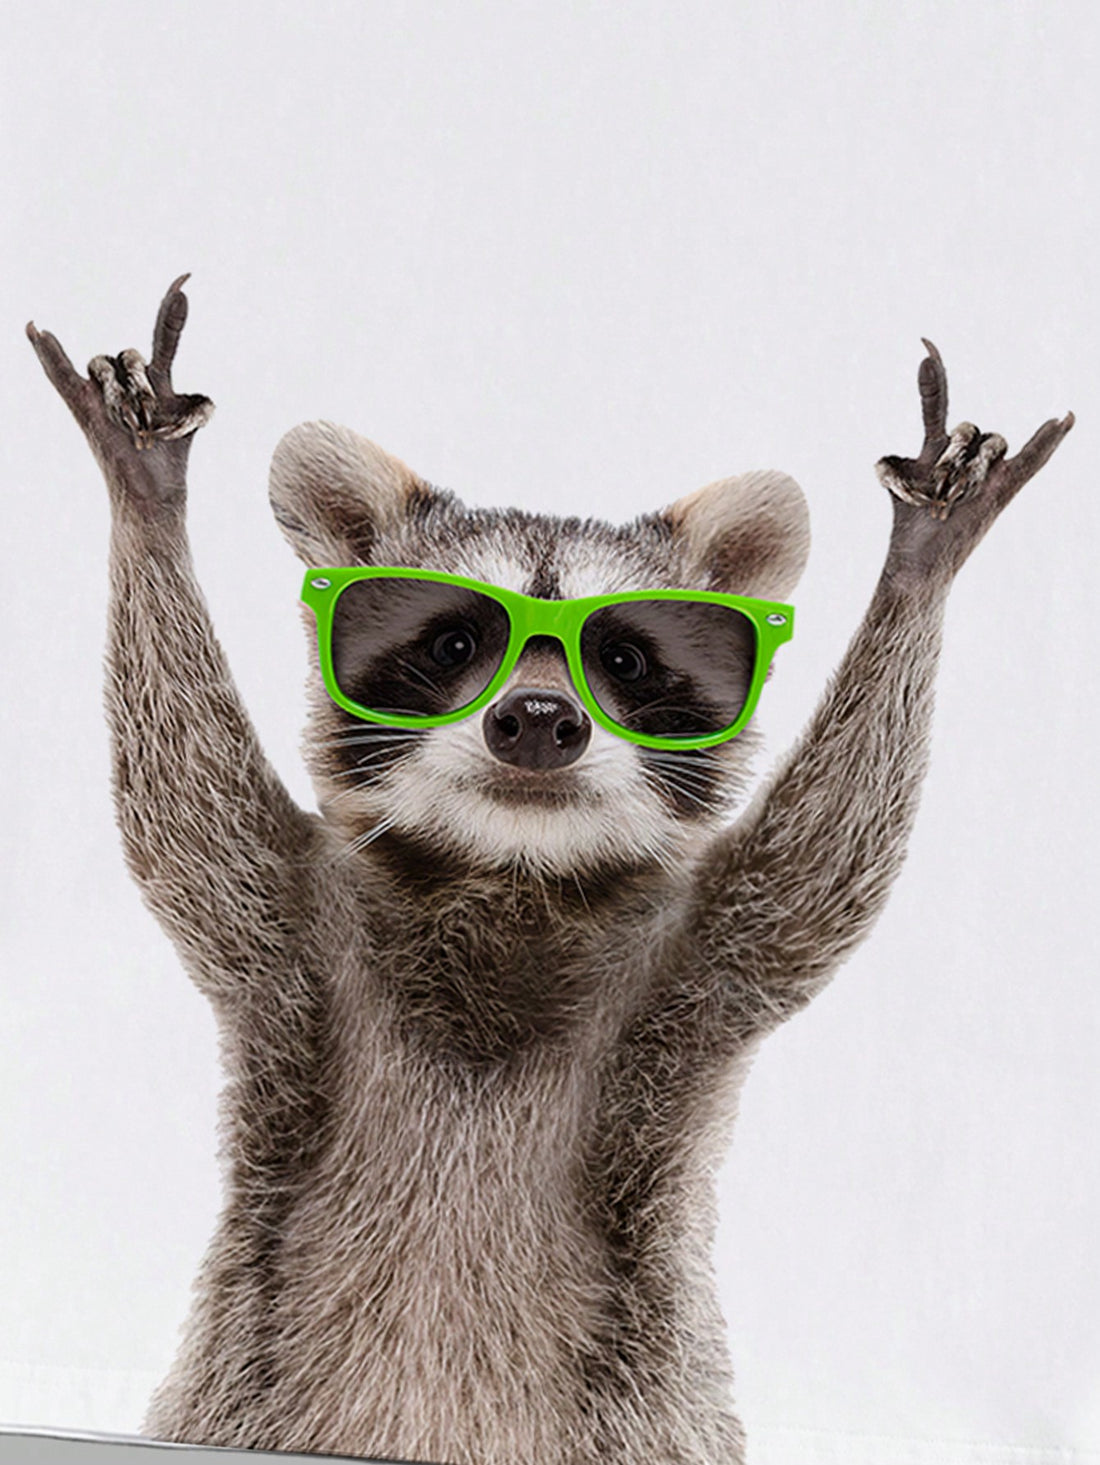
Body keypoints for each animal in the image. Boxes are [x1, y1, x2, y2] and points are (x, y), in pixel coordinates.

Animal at [27, 281, 1073, 1465]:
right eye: (451, 644)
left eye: (621, 658)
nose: (536, 718)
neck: (509, 871)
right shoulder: (289, 928)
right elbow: (182, 805)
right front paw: (148, 501)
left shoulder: (697, 964)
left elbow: (822, 863)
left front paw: (919, 569)